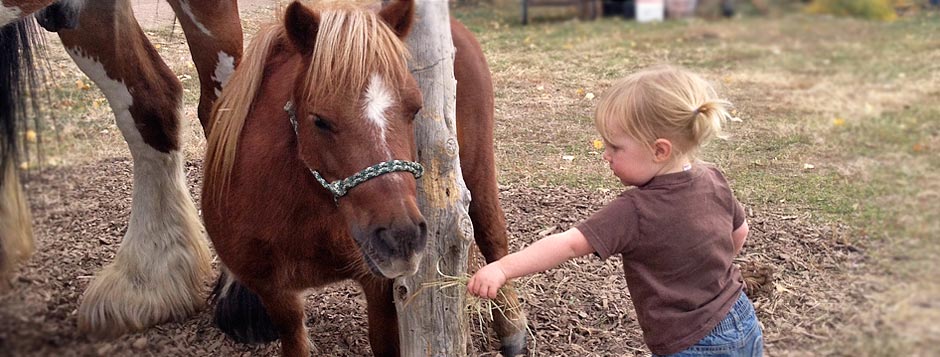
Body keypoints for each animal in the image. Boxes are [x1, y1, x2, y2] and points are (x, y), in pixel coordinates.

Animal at [205, 0, 524, 356]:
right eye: (319, 120)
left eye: (415, 109)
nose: (402, 237)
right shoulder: (275, 294)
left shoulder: (379, 286)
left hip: (477, 167)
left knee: (490, 232)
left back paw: (511, 328)